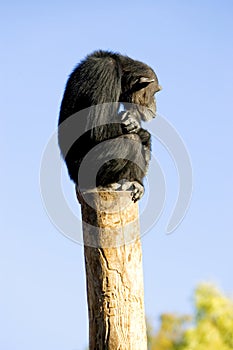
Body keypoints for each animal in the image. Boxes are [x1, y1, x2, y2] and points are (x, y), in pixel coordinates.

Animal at [57, 50, 162, 201]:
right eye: (155, 92)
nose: (155, 103)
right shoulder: (105, 72)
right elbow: (99, 127)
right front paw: (138, 127)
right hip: (87, 170)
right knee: (131, 140)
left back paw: (135, 183)